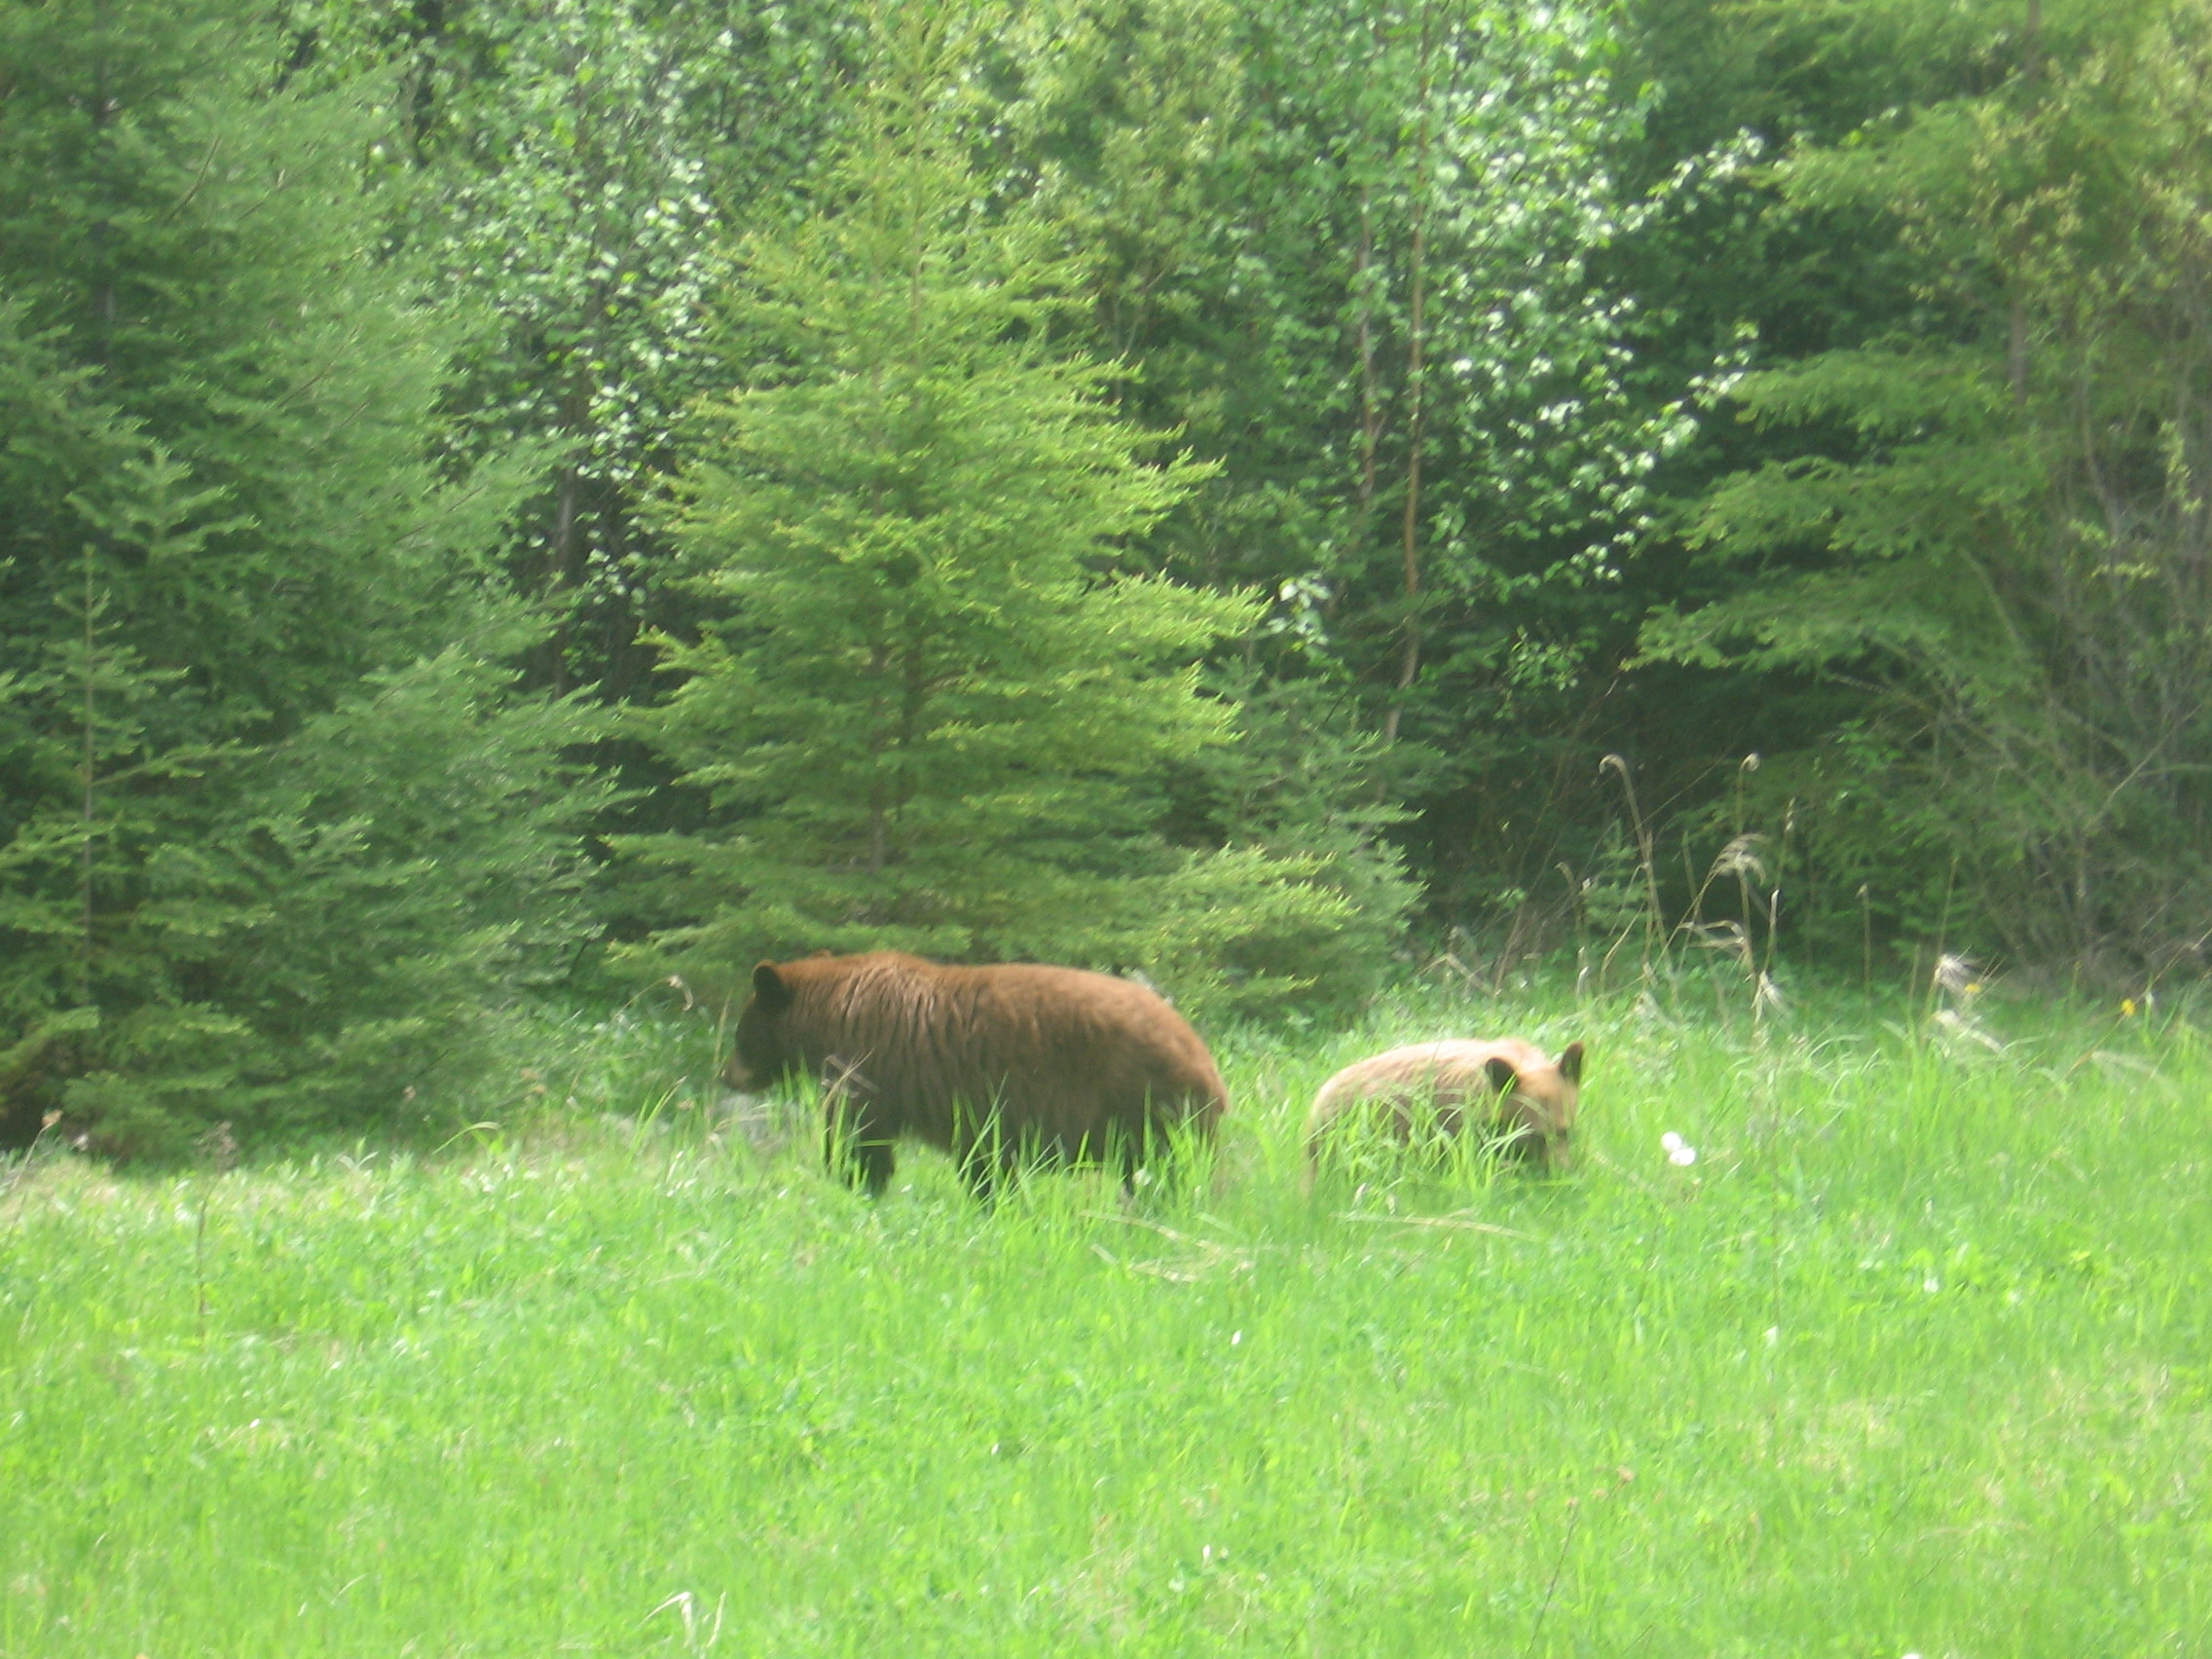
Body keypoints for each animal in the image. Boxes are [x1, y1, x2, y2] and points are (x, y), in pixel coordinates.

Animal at [725, 955, 1230, 1202]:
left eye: (739, 1033)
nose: (728, 1076)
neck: (830, 1010)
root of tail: (1207, 1064)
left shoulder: (865, 1066)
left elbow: (860, 1140)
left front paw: (855, 1183)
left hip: (1146, 1106)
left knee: (1162, 1171)